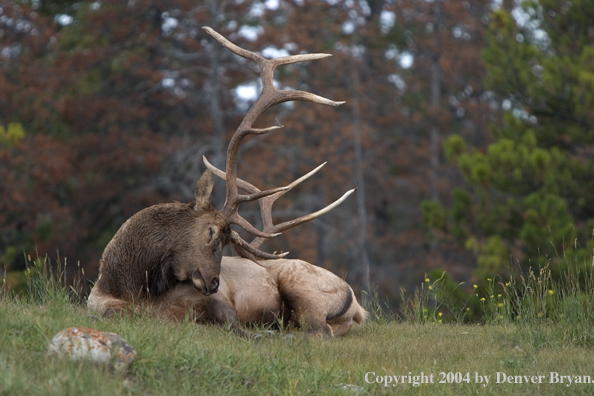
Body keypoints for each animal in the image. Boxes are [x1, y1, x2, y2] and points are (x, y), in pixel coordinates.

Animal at [88, 27, 366, 338]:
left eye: (225, 238)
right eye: (210, 231)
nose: (214, 283)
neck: (134, 289)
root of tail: (358, 307)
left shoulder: (212, 301)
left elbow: (232, 321)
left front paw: (258, 332)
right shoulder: (99, 307)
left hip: (304, 288)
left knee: (316, 330)